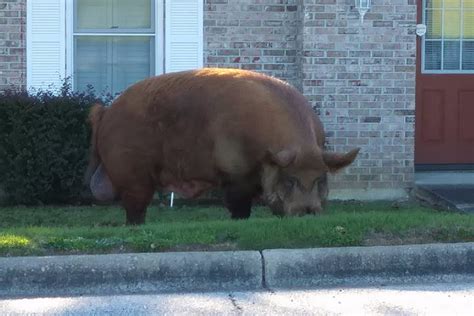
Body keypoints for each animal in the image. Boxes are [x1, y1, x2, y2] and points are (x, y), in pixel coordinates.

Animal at [85, 68, 360, 223]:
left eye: (321, 179)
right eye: (290, 180)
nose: (308, 211)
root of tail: (107, 112)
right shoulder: (234, 173)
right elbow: (238, 207)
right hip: (132, 174)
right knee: (135, 209)